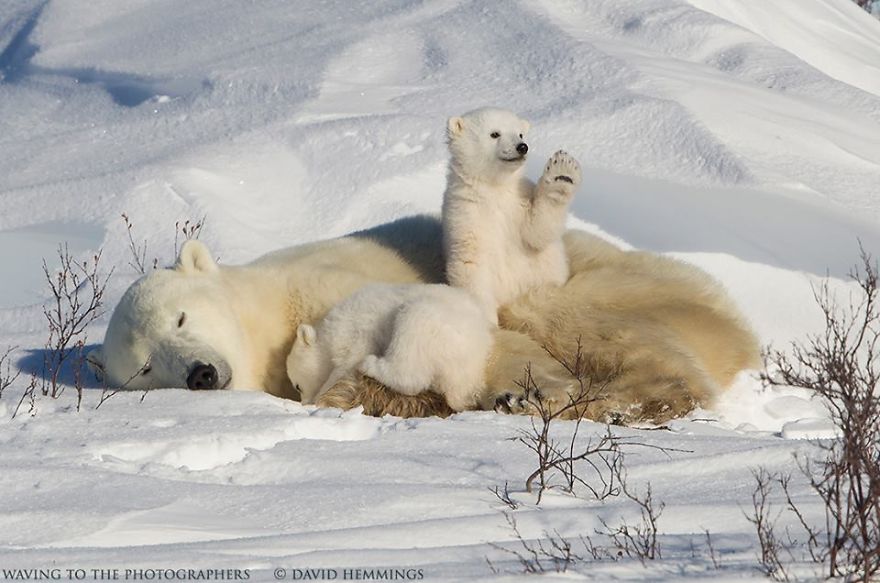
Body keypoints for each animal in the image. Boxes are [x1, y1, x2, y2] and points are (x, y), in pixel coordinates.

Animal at [286, 283, 494, 412]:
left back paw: (371, 365)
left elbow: (348, 363)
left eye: (297, 386)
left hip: (437, 329)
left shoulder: (358, 330)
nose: (303, 402)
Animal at [443, 107, 580, 322]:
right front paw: (486, 319)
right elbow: (471, 263)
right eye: (495, 134)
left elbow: (536, 233)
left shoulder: (519, 200)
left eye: (520, 134)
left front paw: (562, 172)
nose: (522, 147)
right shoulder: (465, 210)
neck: (496, 188)